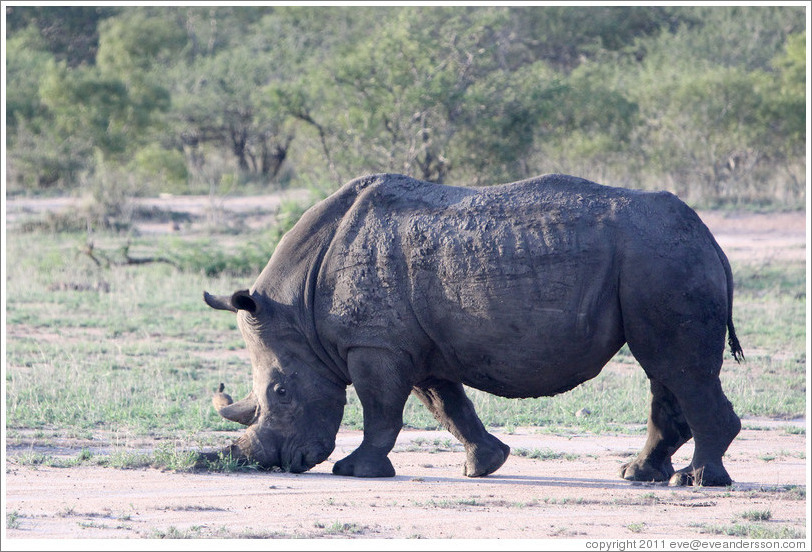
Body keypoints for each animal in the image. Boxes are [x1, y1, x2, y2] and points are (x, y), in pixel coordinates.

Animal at [200, 173, 743, 486]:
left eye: (281, 392)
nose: (274, 462)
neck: (298, 309)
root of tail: (711, 239)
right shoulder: (415, 343)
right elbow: (446, 404)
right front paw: (486, 465)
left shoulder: (375, 343)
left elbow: (381, 409)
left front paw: (356, 471)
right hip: (657, 262)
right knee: (663, 368)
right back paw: (639, 475)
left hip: (663, 260)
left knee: (677, 367)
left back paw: (696, 481)